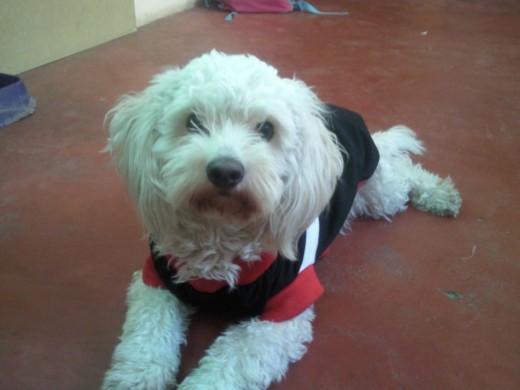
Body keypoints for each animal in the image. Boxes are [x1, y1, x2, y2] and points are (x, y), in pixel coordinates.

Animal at [100, 50, 460, 388]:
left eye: (266, 129)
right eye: (192, 121)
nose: (225, 171)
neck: (221, 236)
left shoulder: (286, 311)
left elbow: (227, 365)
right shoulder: (157, 281)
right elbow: (145, 339)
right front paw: (136, 377)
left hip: (382, 193)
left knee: (406, 172)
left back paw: (439, 193)